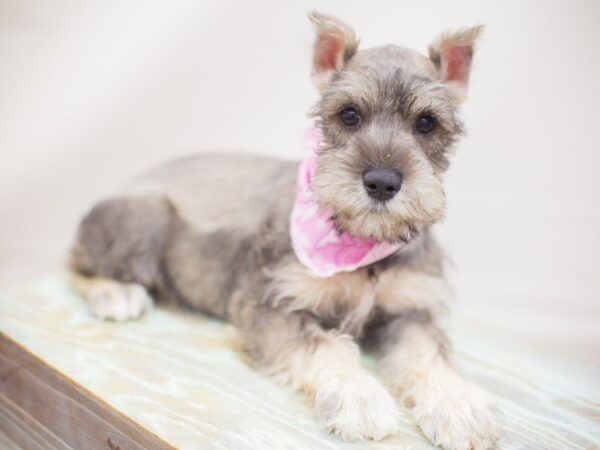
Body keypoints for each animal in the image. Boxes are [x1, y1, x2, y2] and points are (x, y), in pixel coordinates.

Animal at [69, 12, 502, 450]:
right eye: (349, 115)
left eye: (427, 123)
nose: (382, 183)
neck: (362, 244)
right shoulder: (273, 308)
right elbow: (327, 347)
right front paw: (359, 396)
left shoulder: (409, 312)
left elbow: (428, 354)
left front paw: (458, 405)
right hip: (143, 220)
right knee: (74, 263)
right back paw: (116, 294)